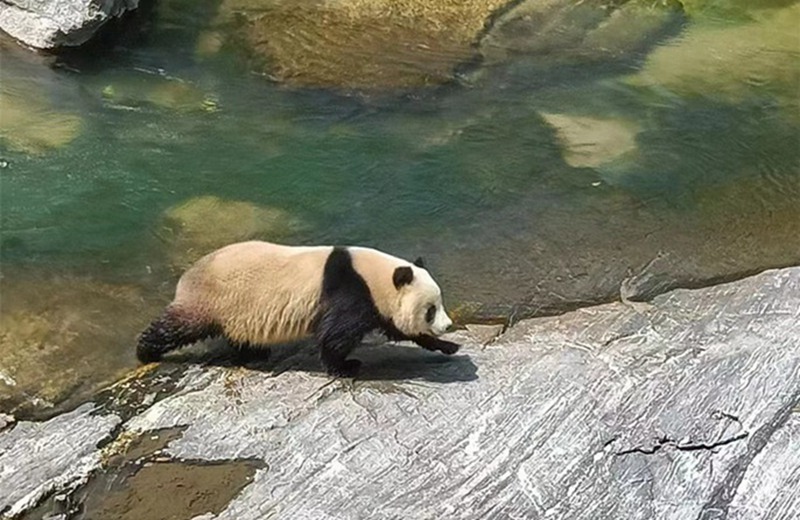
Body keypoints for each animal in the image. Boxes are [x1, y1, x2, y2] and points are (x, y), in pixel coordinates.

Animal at [138, 240, 460, 378]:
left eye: (438, 305)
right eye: (430, 309)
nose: (447, 325)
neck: (373, 275)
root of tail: (186, 276)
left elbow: (397, 329)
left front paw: (448, 346)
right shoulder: (351, 292)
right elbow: (334, 335)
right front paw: (345, 366)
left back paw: (254, 353)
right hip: (212, 300)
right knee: (179, 326)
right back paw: (145, 351)